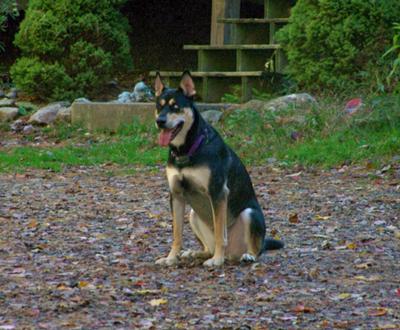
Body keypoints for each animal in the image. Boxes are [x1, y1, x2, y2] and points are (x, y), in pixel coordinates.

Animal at [155, 71, 282, 266]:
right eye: (159, 106)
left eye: (175, 107)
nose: (159, 121)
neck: (188, 149)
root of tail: (233, 254)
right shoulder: (176, 195)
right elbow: (177, 234)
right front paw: (171, 258)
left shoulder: (218, 192)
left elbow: (220, 234)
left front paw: (217, 261)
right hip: (193, 215)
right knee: (209, 248)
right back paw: (196, 253)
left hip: (250, 214)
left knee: (255, 248)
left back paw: (246, 255)